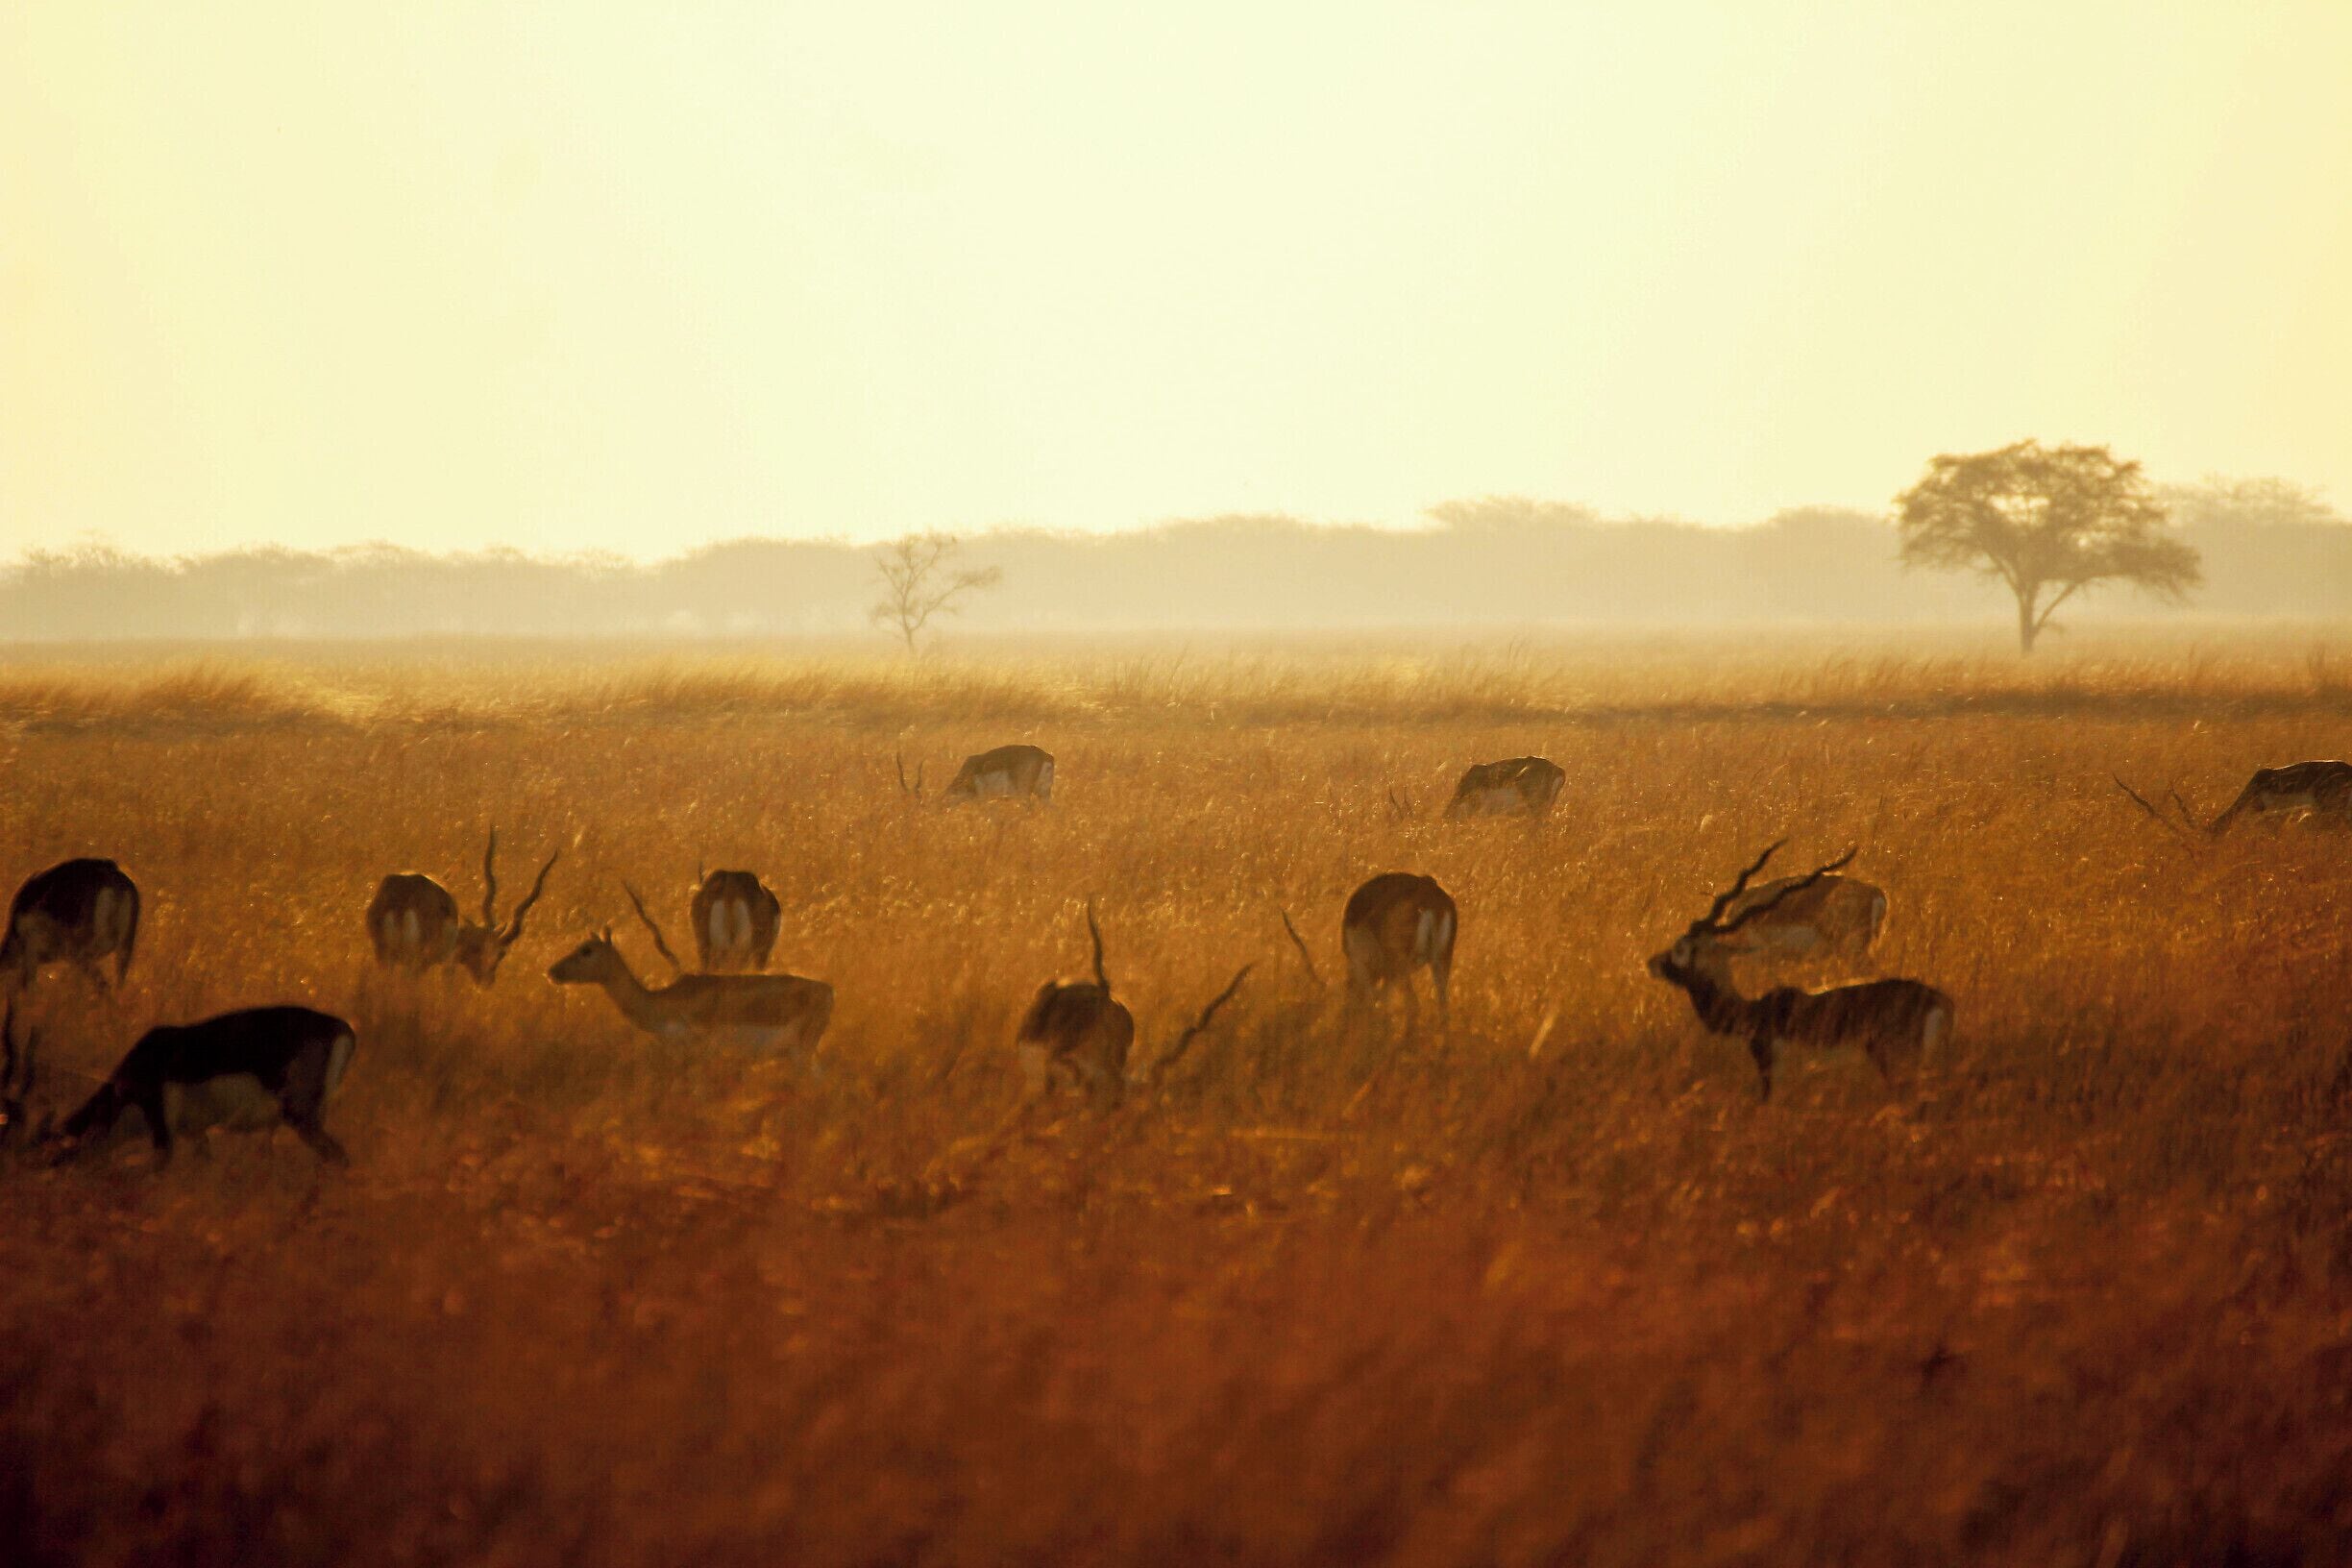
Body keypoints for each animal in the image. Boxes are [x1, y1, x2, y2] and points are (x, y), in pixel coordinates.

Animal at [367, 829, 559, 985]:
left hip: (383, 954)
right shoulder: (445, 963)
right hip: (412, 961)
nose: (488, 982)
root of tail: (402, 895)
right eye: (501, 954)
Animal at [1340, 872, 1457, 1039]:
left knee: (1413, 1003)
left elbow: (1376, 1002)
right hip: (1440, 961)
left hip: (1401, 967)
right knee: (1443, 1007)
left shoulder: (1363, 967)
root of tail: (1428, 892)